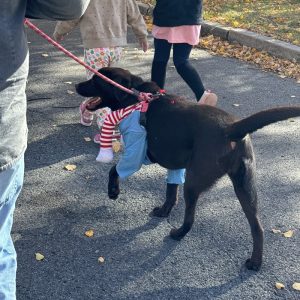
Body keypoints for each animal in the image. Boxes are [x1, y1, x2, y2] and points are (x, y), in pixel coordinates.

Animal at [76, 67, 300, 270]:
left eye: (95, 80)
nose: (77, 85)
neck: (134, 98)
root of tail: (231, 129)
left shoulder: (136, 152)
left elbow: (115, 170)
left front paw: (113, 191)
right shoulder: (176, 166)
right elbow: (170, 191)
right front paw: (164, 211)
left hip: (194, 182)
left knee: (191, 219)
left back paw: (178, 233)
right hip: (245, 186)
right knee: (257, 227)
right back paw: (255, 262)